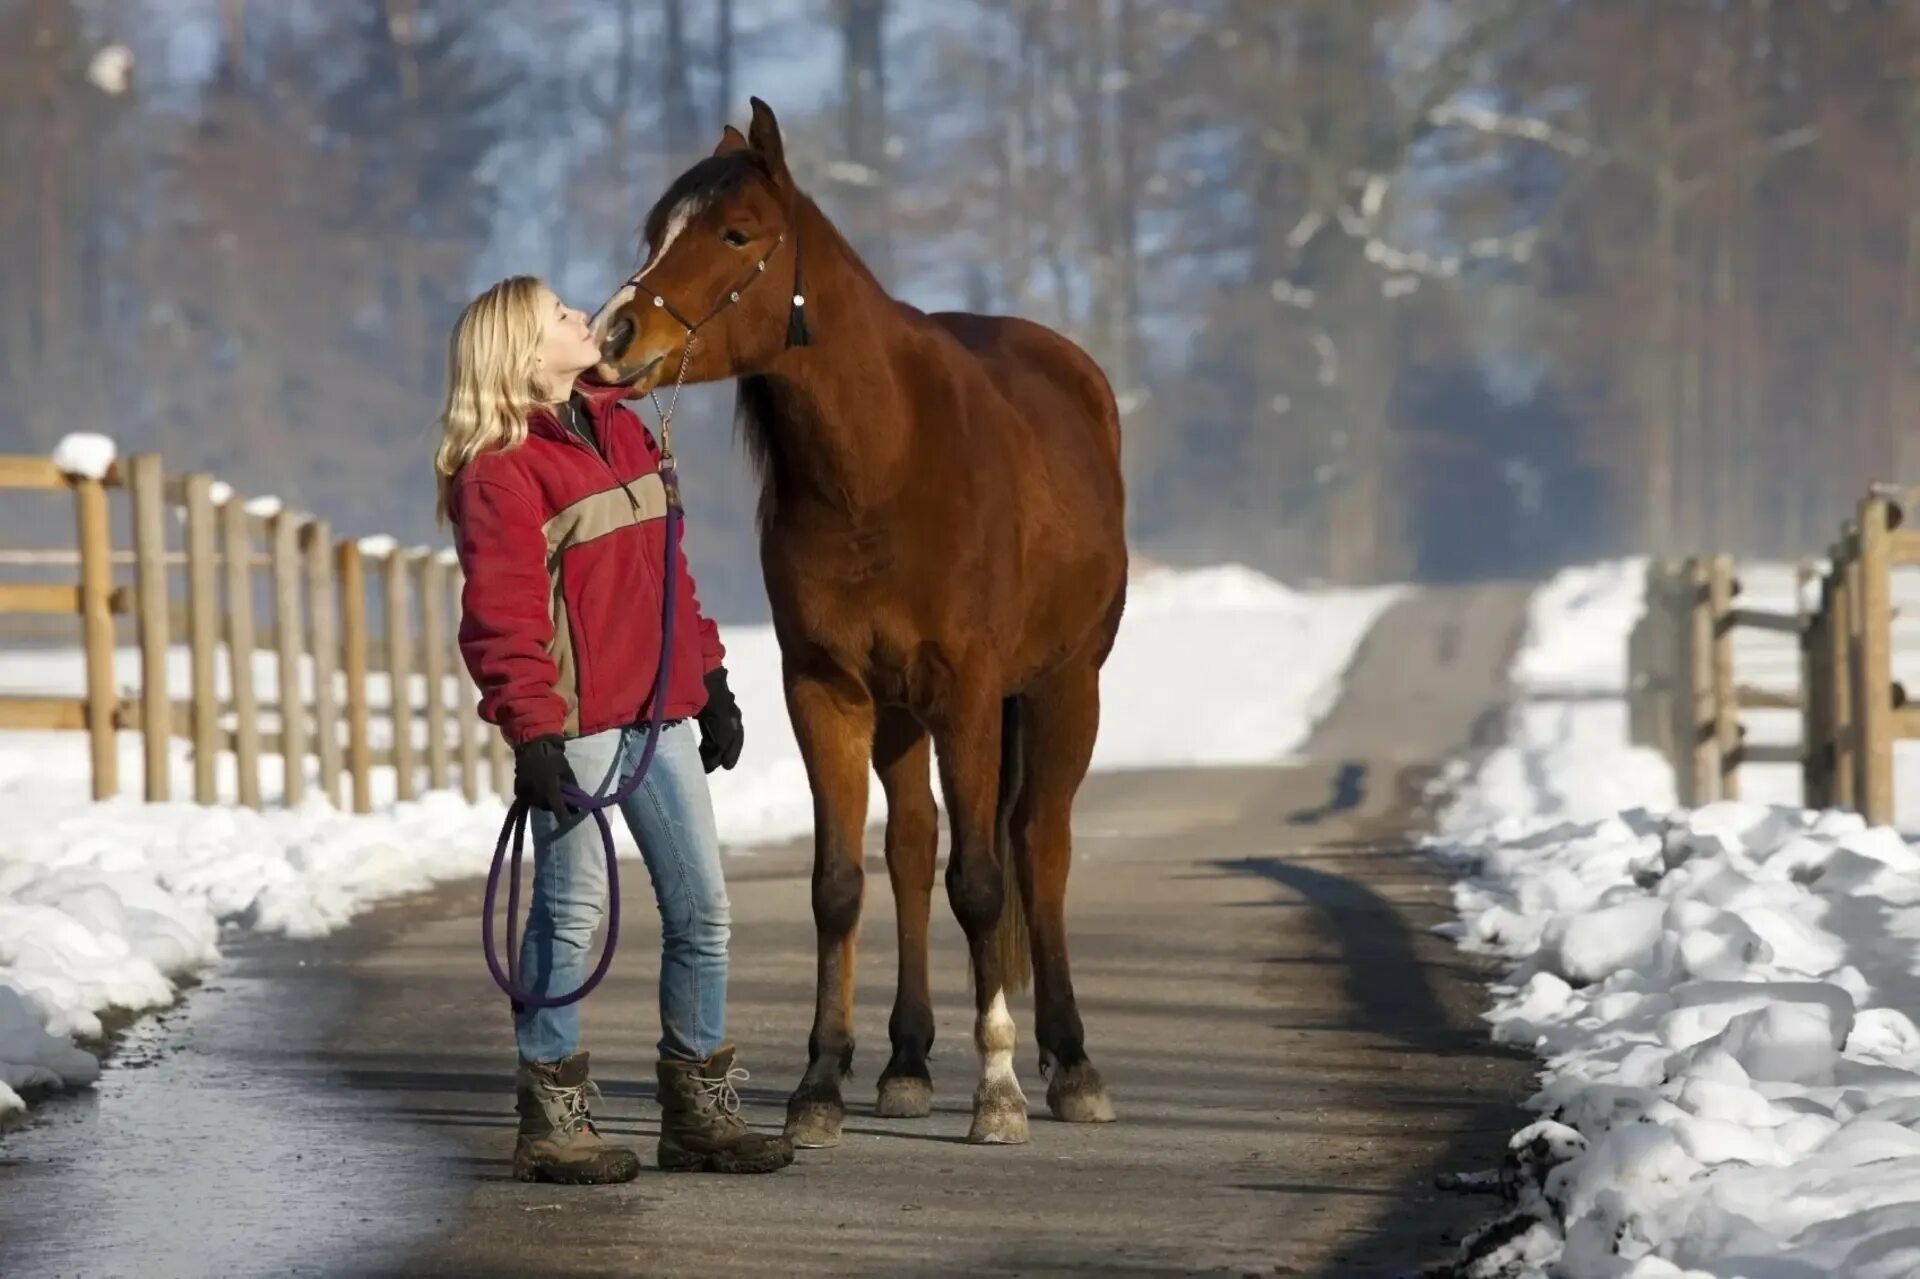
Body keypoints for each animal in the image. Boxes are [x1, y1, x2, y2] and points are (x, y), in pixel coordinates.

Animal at [583, 94, 1121, 1136]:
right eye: (656, 232)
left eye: (736, 232)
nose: (613, 336)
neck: (885, 464)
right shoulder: (827, 690)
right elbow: (840, 884)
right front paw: (819, 1086)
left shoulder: (970, 693)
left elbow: (982, 883)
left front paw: (998, 1089)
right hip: (904, 714)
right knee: (911, 849)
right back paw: (906, 1060)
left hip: (1064, 687)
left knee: (1039, 848)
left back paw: (1071, 1063)